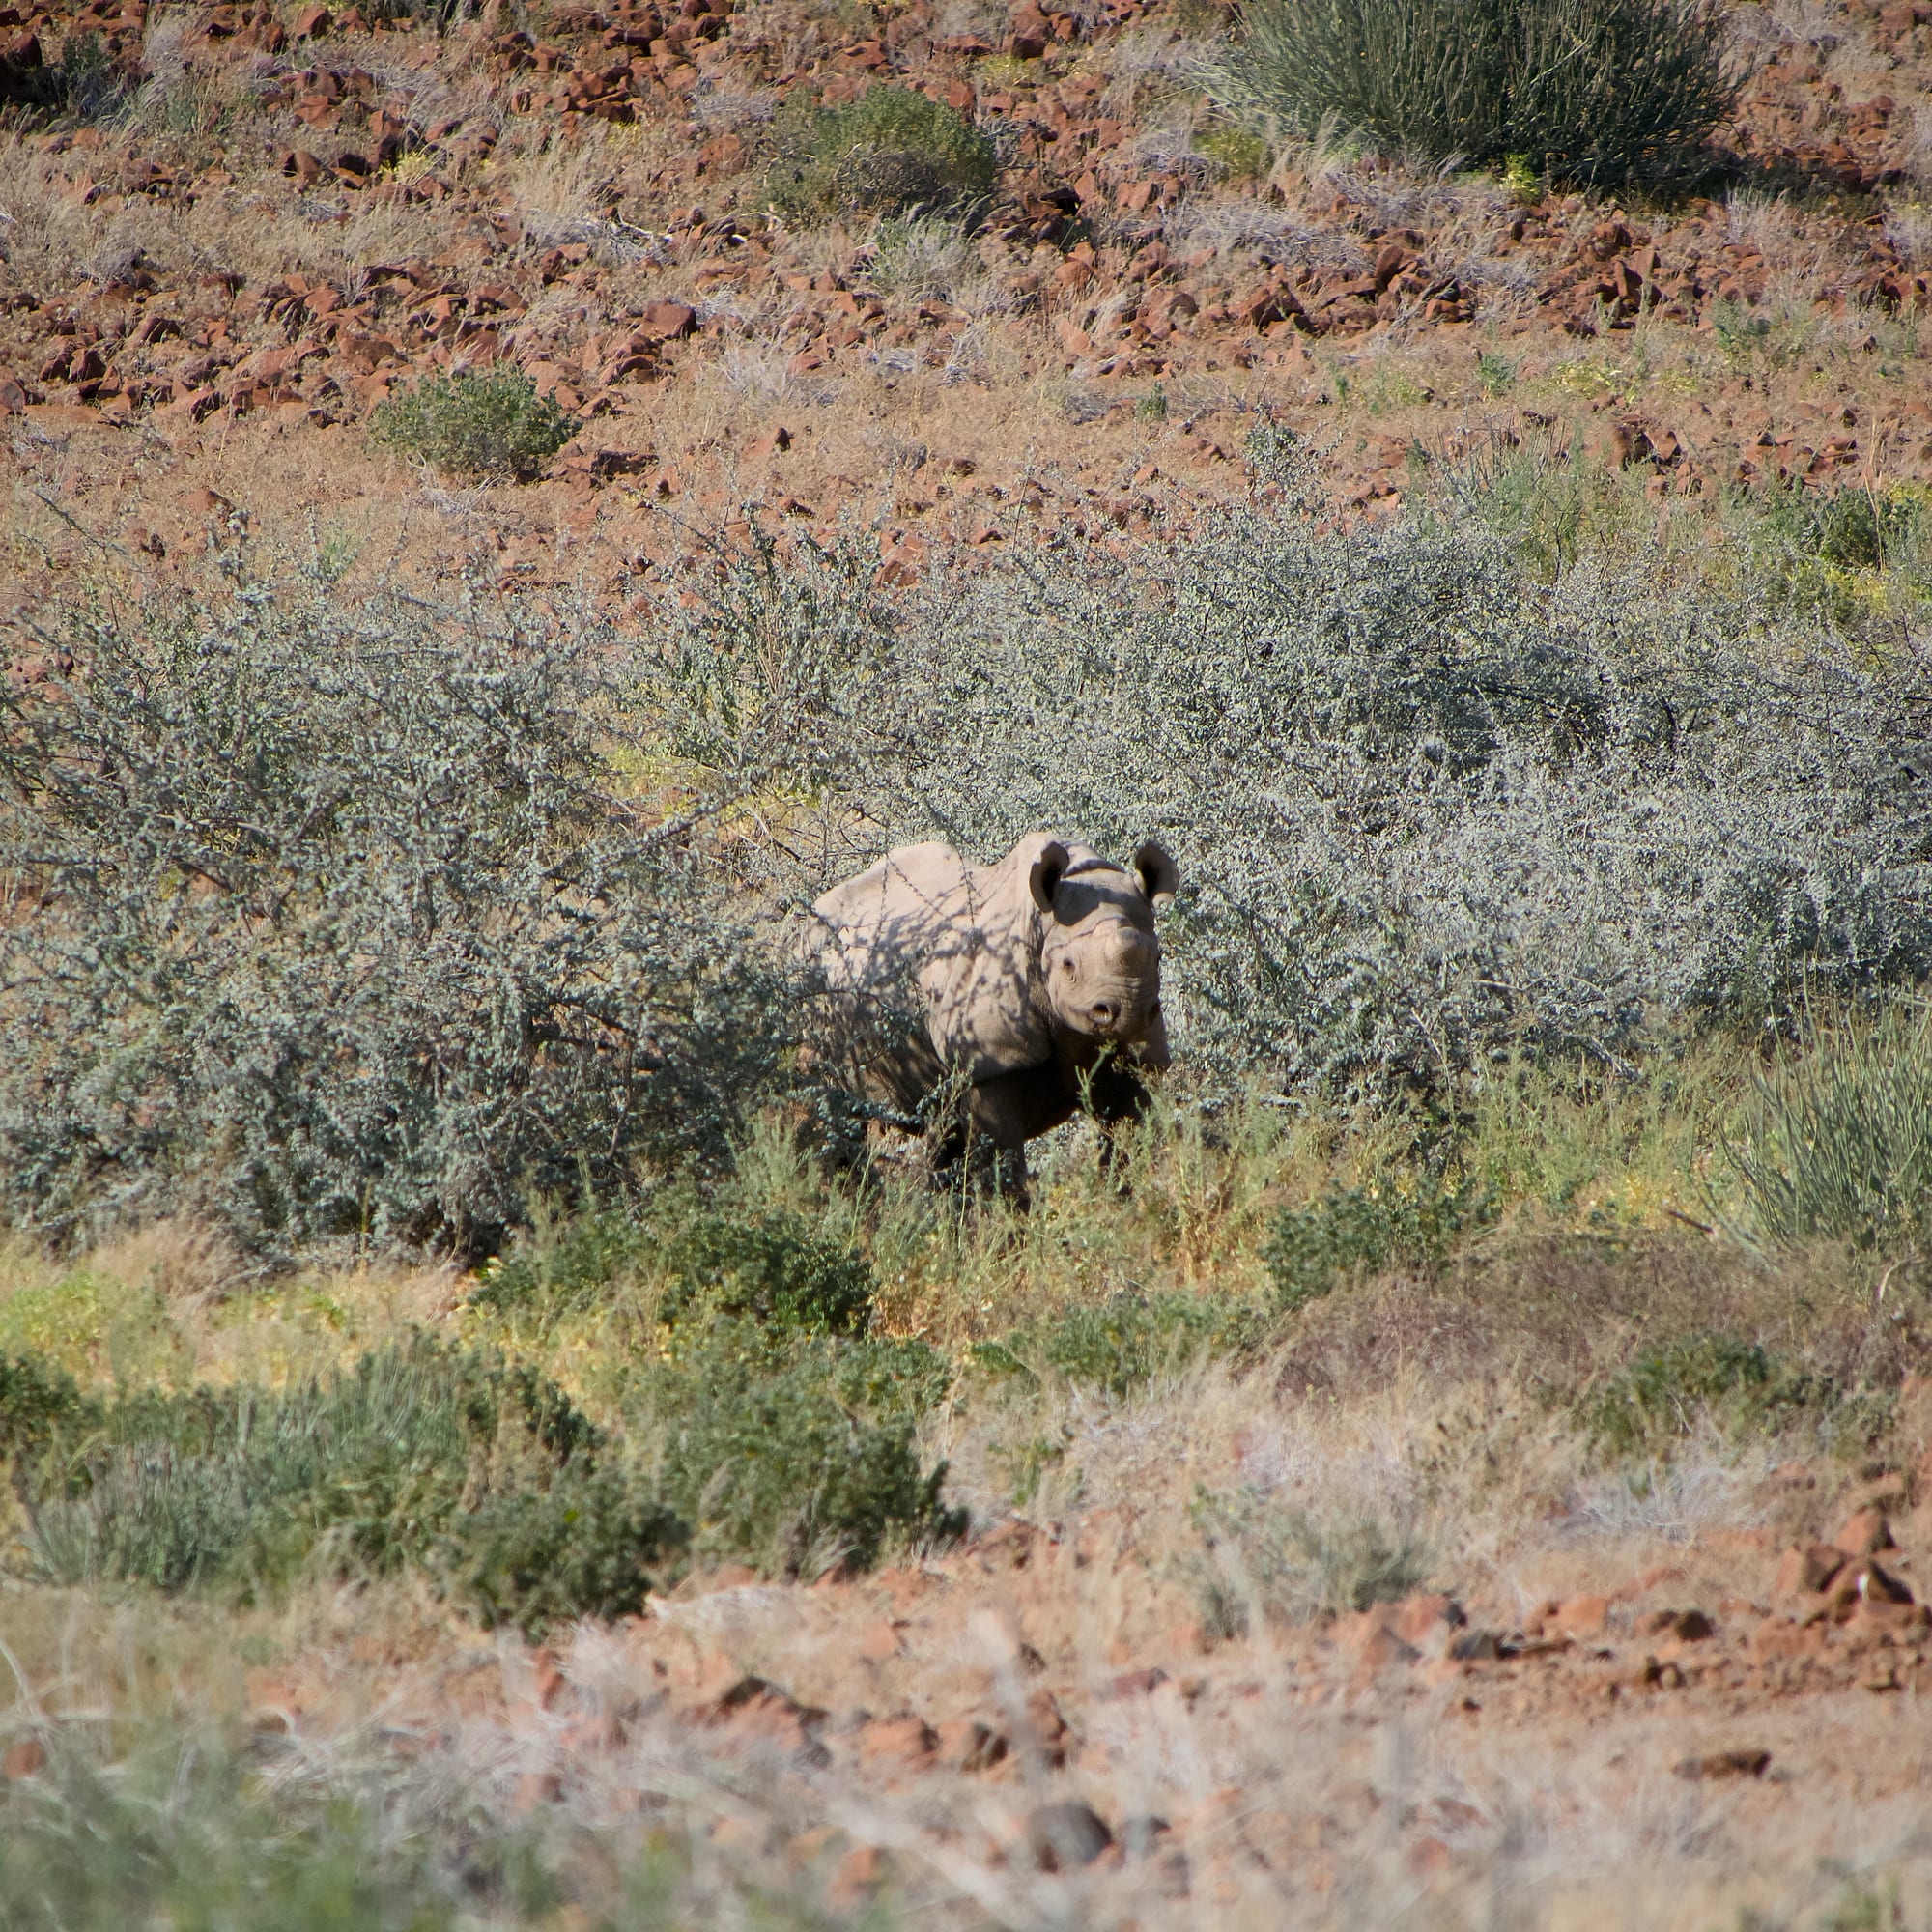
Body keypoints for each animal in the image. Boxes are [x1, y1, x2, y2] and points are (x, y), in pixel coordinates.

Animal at [807, 832, 1179, 1186]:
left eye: (1158, 959)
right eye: (1068, 966)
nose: (1129, 1013)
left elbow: (1126, 1145)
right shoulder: (990, 1063)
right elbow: (1003, 1164)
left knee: (942, 1131)